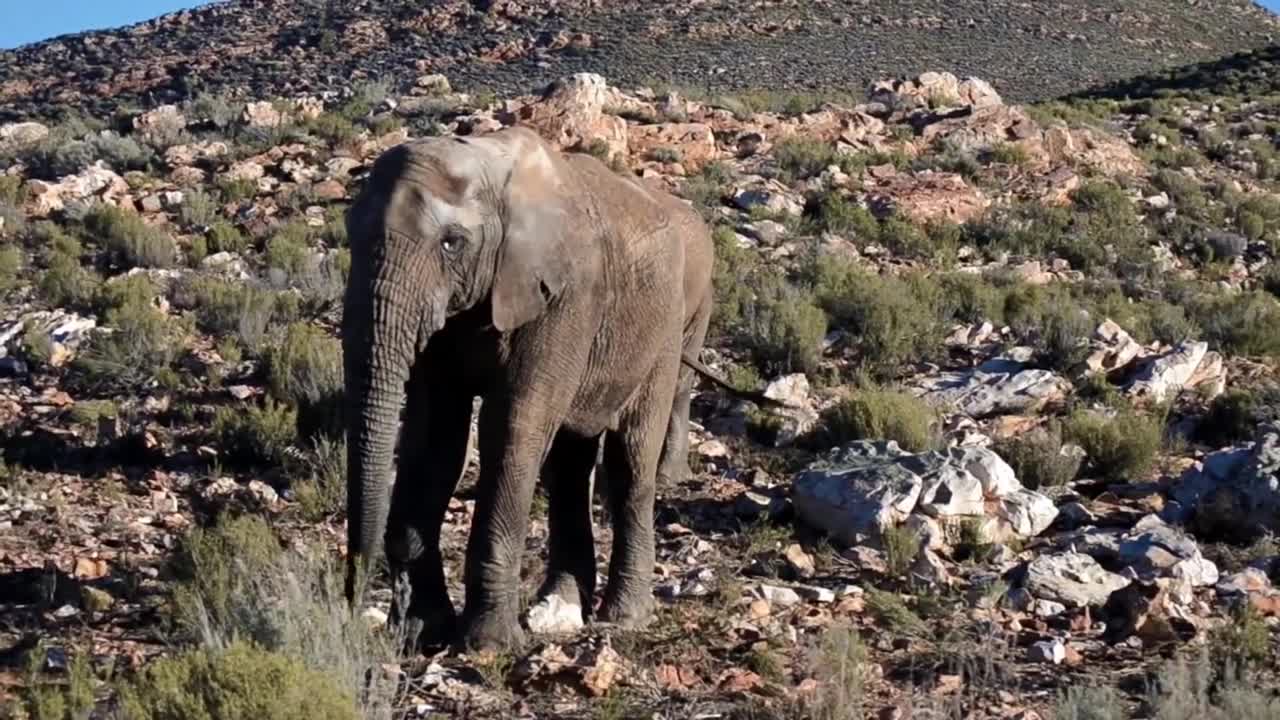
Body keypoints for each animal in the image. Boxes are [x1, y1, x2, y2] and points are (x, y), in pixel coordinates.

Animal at [340, 122, 778, 650]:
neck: (488, 165)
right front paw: (423, 631)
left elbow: (513, 428)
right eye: (348, 234)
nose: (351, 609)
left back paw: (624, 617)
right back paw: (562, 605)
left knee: (630, 461)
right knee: (569, 464)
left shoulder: (565, 297)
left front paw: (489, 644)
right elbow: (435, 439)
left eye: (451, 243)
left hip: (665, 331)